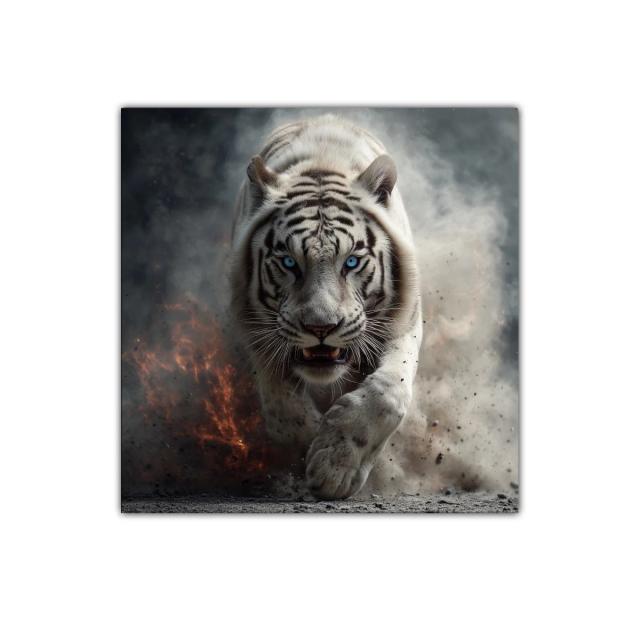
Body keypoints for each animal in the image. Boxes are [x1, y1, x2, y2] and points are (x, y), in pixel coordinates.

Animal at [230, 114, 423, 499]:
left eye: (351, 262)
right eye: (289, 262)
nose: (321, 328)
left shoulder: (405, 321)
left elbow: (389, 394)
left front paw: (335, 468)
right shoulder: (254, 329)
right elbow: (282, 409)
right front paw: (311, 450)